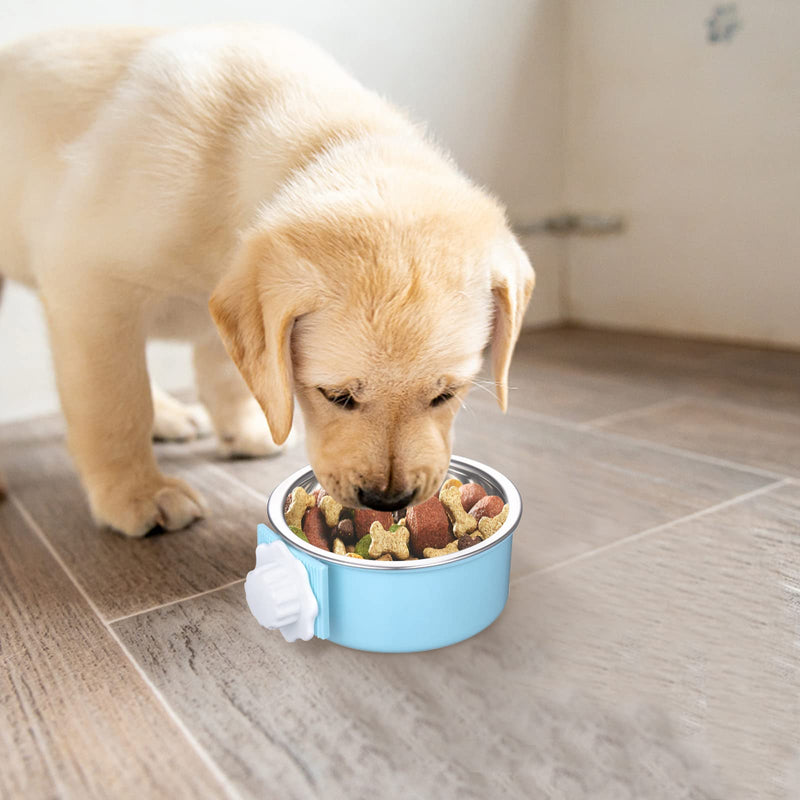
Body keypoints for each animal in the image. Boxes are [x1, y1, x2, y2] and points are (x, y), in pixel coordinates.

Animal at [1, 26, 536, 536]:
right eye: (336, 396)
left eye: (446, 395)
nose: (387, 501)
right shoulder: (90, 286)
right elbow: (115, 404)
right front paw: (136, 493)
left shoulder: (228, 305)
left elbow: (230, 370)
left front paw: (243, 429)